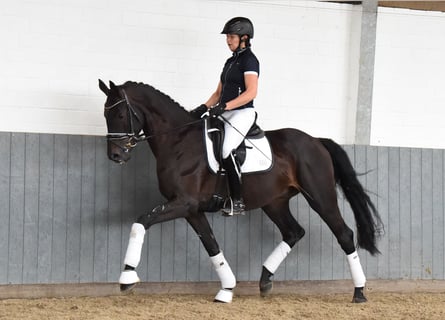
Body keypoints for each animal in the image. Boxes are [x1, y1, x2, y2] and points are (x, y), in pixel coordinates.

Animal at [98, 79, 382, 302]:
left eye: (120, 115)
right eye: (105, 116)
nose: (115, 156)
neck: (178, 141)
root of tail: (317, 141)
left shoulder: (184, 203)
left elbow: (141, 220)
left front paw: (127, 276)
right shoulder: (191, 209)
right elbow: (212, 245)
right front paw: (227, 289)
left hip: (321, 198)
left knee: (344, 234)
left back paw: (359, 292)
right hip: (274, 202)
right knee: (293, 232)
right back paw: (265, 280)